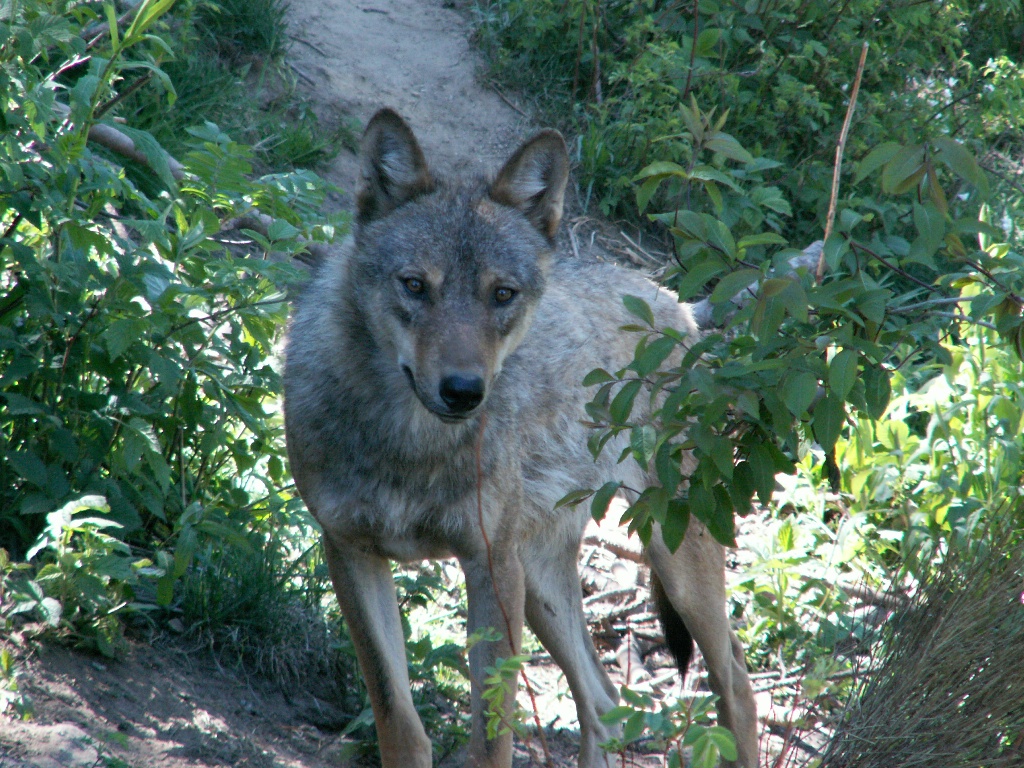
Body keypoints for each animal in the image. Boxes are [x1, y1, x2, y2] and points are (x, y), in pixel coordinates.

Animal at [283, 108, 758, 768]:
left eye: (502, 295)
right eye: (415, 286)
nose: (463, 390)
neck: (409, 445)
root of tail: (676, 305)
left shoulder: (490, 566)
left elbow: (493, 737)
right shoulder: (351, 550)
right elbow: (398, 718)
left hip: (668, 561)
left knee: (735, 680)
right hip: (539, 582)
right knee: (605, 703)